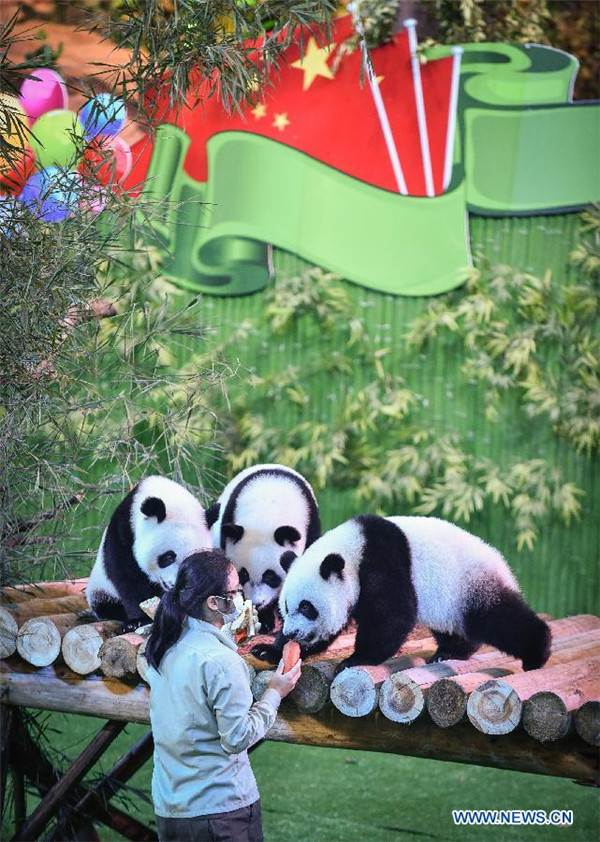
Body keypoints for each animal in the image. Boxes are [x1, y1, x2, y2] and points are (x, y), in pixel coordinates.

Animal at [86, 472, 212, 624]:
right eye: (169, 557)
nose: (176, 585)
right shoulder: (124, 534)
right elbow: (129, 579)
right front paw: (139, 620)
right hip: (100, 589)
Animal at [251, 512, 552, 668]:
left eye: (306, 607)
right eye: (286, 608)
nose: (293, 633)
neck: (351, 549)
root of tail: (501, 561)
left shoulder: (381, 561)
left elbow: (394, 615)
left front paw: (356, 659)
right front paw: (269, 650)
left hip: (470, 583)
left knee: (499, 619)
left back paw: (536, 653)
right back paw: (452, 651)